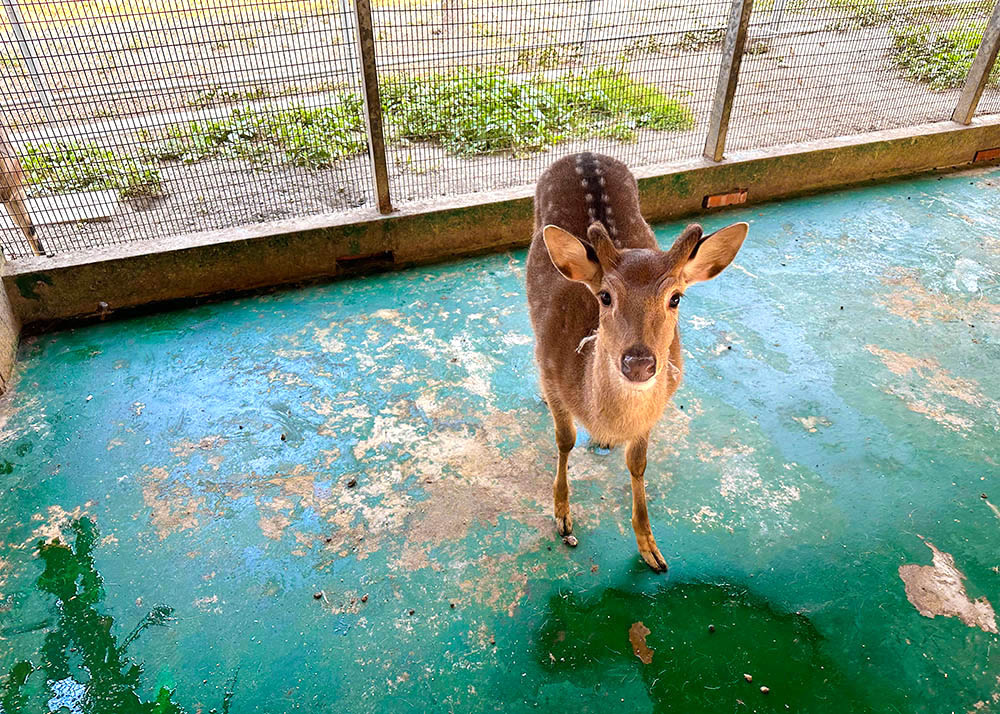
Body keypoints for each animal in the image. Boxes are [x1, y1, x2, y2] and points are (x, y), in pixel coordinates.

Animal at [528, 152, 748, 572]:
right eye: (605, 296)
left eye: (676, 297)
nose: (640, 363)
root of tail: (584, 152)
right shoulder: (550, 366)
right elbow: (565, 440)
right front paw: (562, 515)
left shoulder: (656, 407)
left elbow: (639, 463)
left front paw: (650, 547)